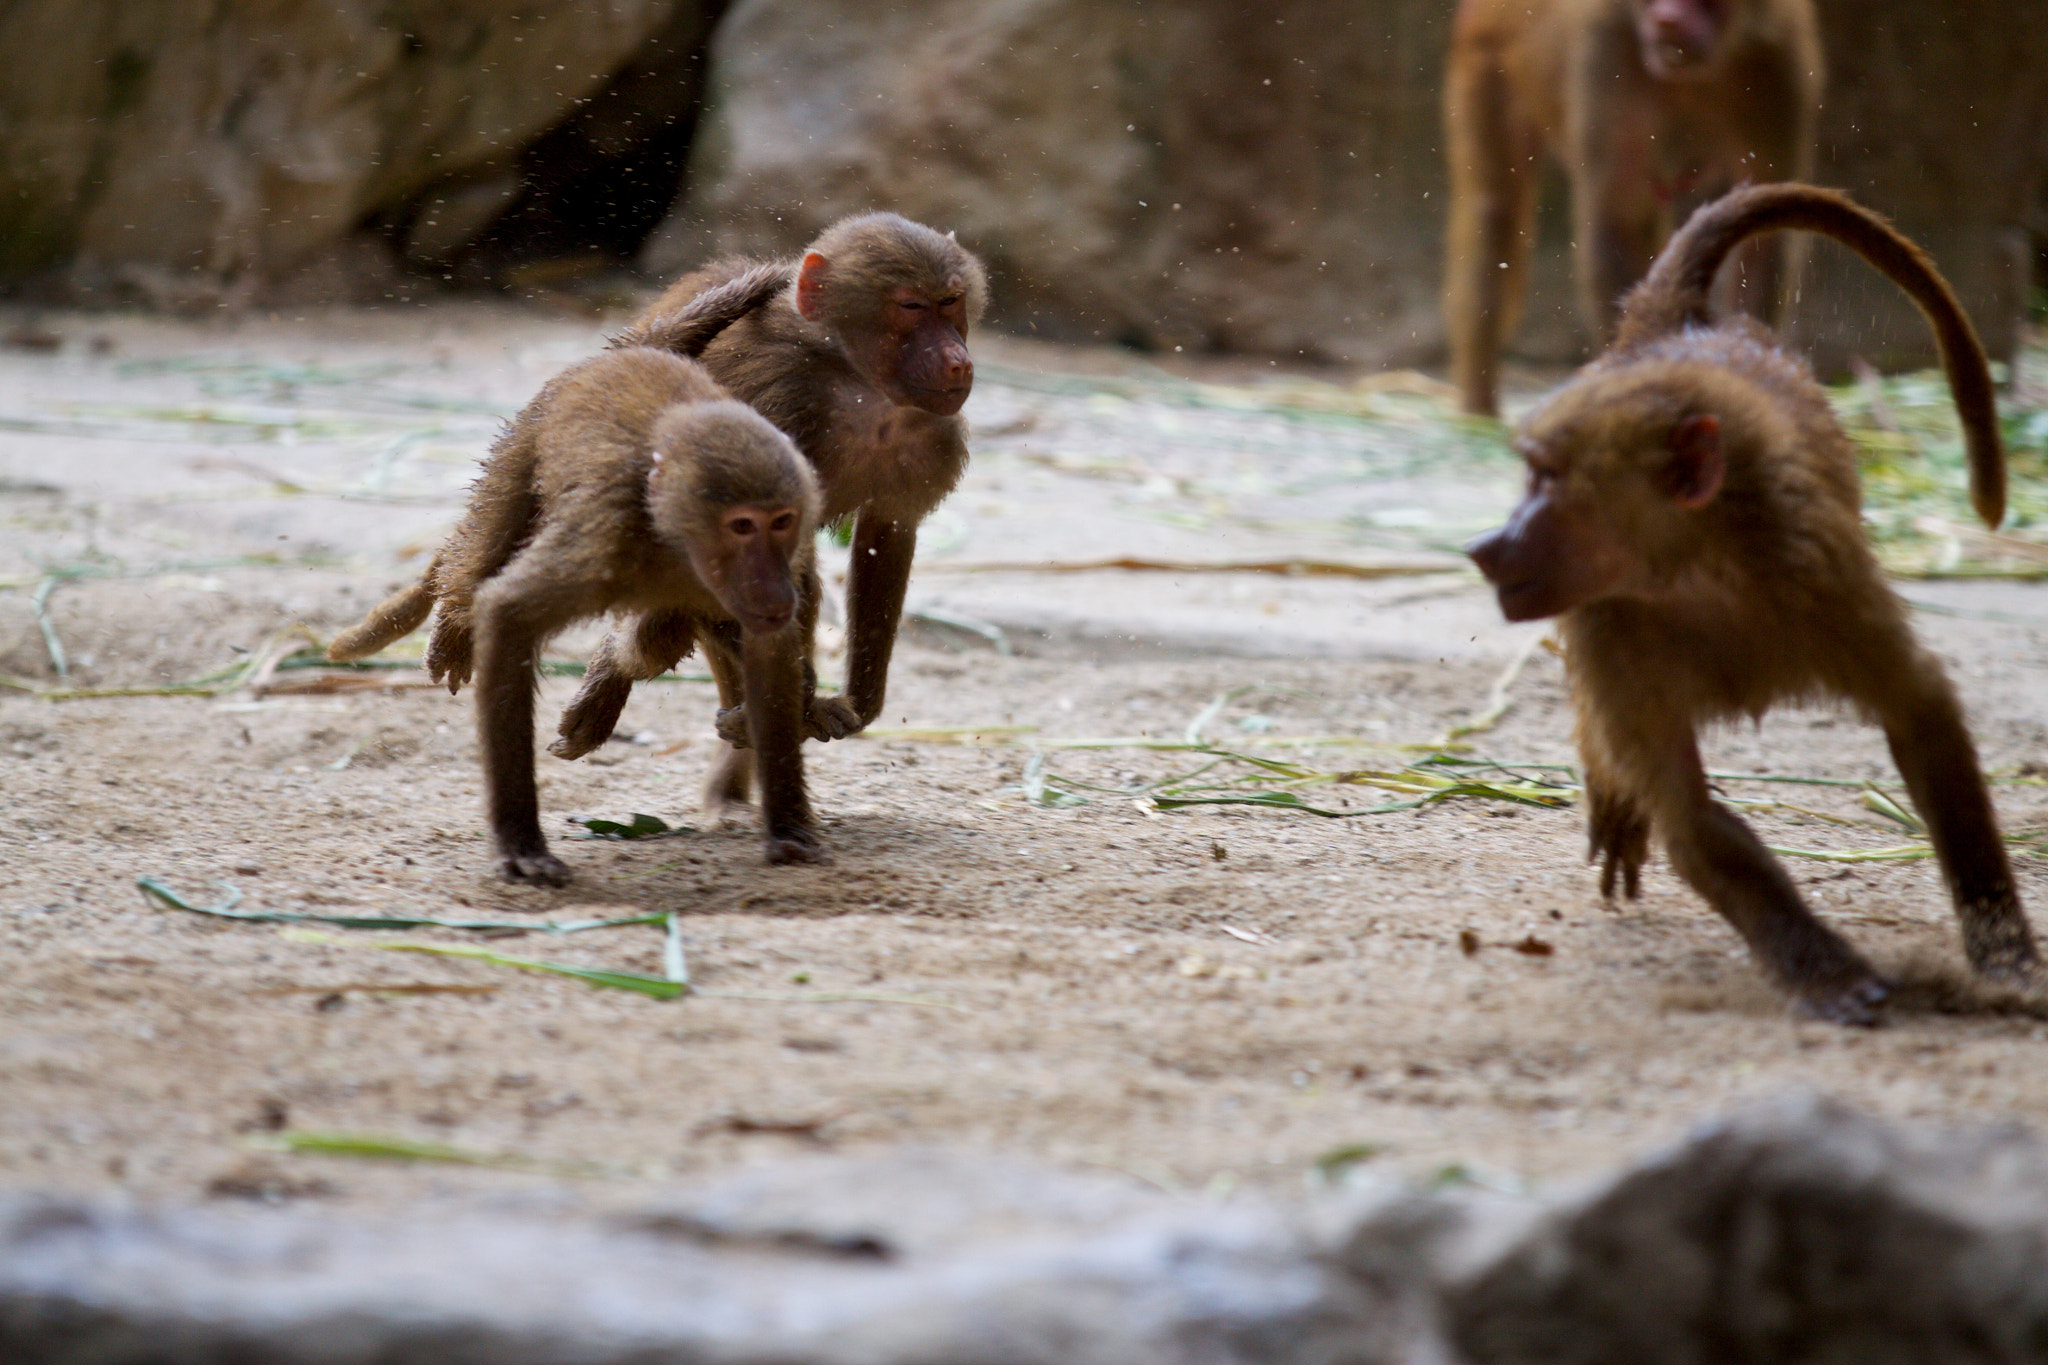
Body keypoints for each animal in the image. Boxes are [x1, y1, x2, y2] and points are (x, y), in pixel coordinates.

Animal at [333, 344, 826, 885]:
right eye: (742, 526)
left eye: (781, 522)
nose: (773, 589)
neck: (678, 549)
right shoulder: (603, 537)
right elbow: (507, 613)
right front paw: (521, 843)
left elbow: (770, 651)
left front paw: (787, 828)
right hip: (525, 442)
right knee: (485, 551)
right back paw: (455, 627)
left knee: (657, 639)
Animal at [555, 212, 987, 817]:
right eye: (910, 307)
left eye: (950, 302)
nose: (957, 360)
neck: (858, 385)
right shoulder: (777, 402)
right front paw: (799, 703)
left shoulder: (932, 434)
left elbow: (885, 534)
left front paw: (856, 703)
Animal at [1442, 0, 1823, 417]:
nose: (1667, 18)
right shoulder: (1605, 52)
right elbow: (1617, 219)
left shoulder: (1778, 63)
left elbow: (1763, 235)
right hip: (1484, 54)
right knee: (1493, 213)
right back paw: (1478, 411)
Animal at [1464, 183, 2038, 1024]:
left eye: (1545, 478)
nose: (1487, 545)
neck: (1696, 570)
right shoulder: (1610, 629)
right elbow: (1691, 817)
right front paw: (1830, 974)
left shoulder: (1818, 573)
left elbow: (1921, 711)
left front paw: (2003, 953)